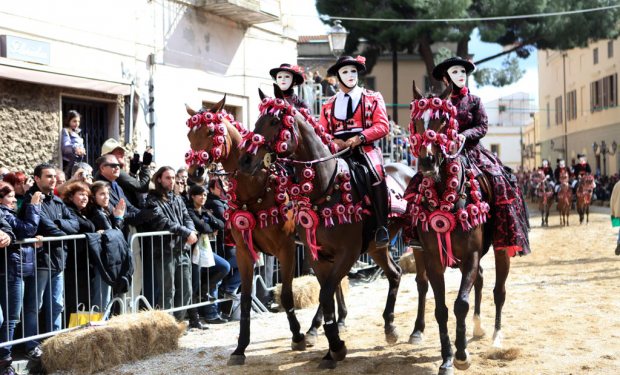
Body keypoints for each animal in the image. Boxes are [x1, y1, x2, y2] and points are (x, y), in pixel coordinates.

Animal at [184, 97, 348, 368]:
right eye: (189, 135)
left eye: (210, 132)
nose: (194, 174)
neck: (257, 188)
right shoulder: (243, 252)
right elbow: (245, 298)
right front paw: (240, 348)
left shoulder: (286, 250)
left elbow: (288, 296)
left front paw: (297, 337)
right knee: (332, 282)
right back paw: (333, 322)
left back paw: (316, 328)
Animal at [239, 83, 412, 368]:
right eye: (256, 122)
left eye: (274, 121)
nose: (244, 160)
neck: (326, 186)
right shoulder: (315, 254)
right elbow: (326, 293)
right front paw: (332, 347)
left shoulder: (347, 253)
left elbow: (327, 292)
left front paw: (333, 344)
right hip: (376, 246)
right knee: (395, 273)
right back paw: (390, 327)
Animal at [404, 83, 512, 375]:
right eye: (416, 122)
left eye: (443, 120)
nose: (427, 162)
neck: (445, 194)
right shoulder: (433, 258)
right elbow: (441, 308)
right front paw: (447, 359)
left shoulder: (471, 254)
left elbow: (461, 304)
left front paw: (462, 355)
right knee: (477, 281)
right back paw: (476, 328)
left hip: (502, 248)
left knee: (498, 291)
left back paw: (496, 337)